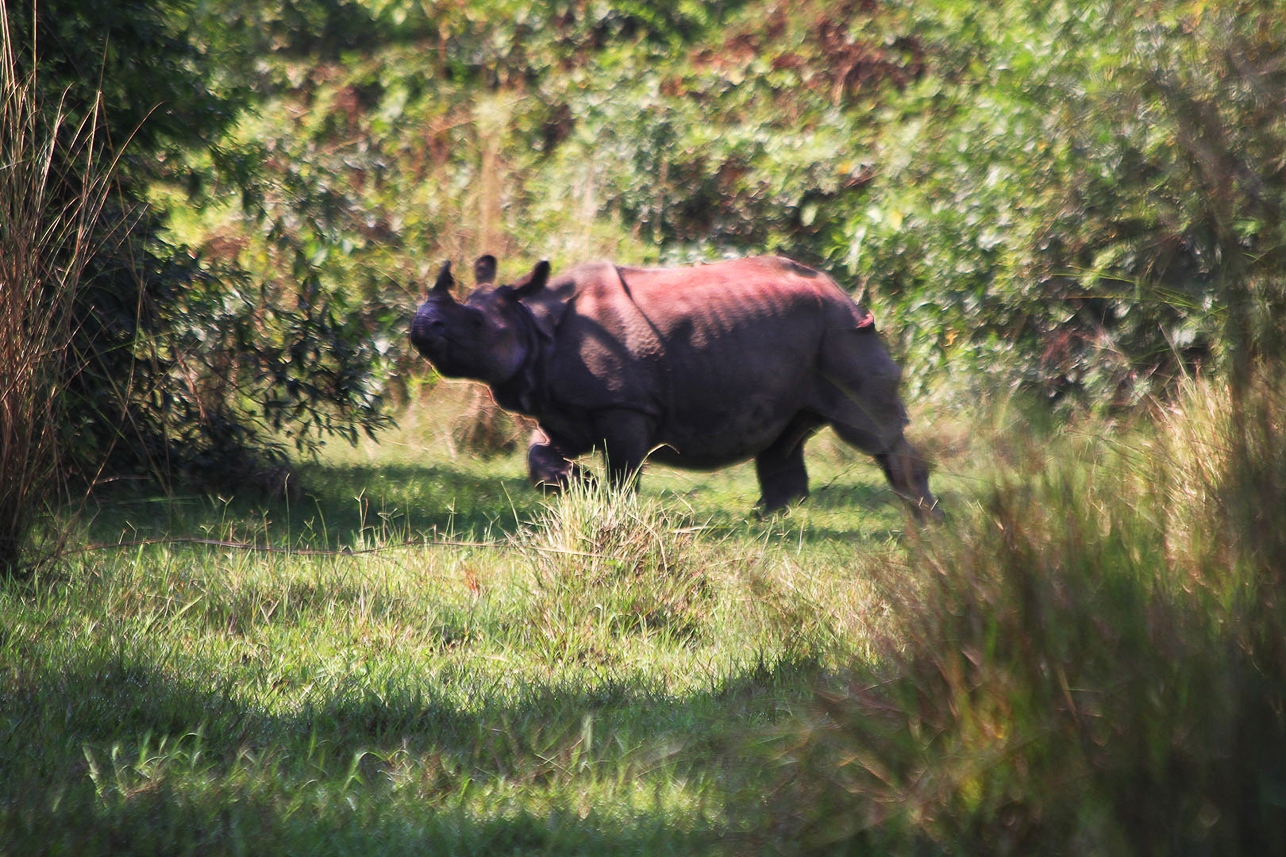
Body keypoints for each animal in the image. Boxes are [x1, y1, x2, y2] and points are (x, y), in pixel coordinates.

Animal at [406, 254, 941, 514]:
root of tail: (844, 290)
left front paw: (607, 505)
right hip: (808, 333)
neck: (533, 323)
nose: (419, 325)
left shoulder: (624, 406)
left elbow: (624, 471)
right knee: (786, 435)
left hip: (842, 330)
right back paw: (767, 522)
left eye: (475, 324)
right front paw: (576, 484)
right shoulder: (560, 404)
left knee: (870, 428)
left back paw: (925, 520)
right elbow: (539, 457)